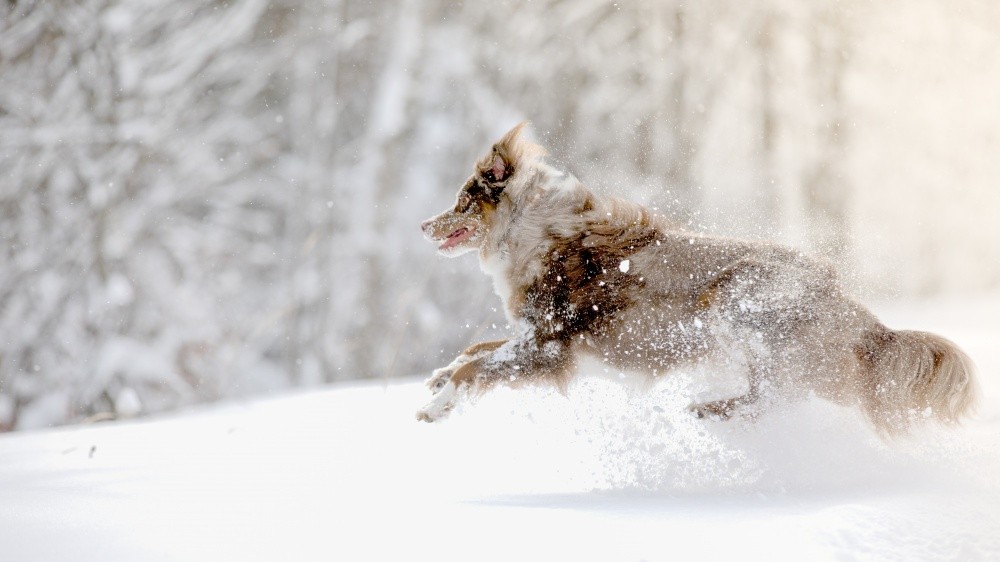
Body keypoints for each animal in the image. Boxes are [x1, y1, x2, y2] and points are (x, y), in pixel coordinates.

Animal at [414, 121, 976, 428]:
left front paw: (437, 406)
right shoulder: (533, 336)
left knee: (775, 394)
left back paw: (708, 409)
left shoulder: (551, 345)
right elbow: (475, 350)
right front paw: (436, 378)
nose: (421, 224)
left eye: (461, 201)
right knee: (776, 395)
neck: (531, 230)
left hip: (734, 296)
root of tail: (858, 313)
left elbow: (477, 364)